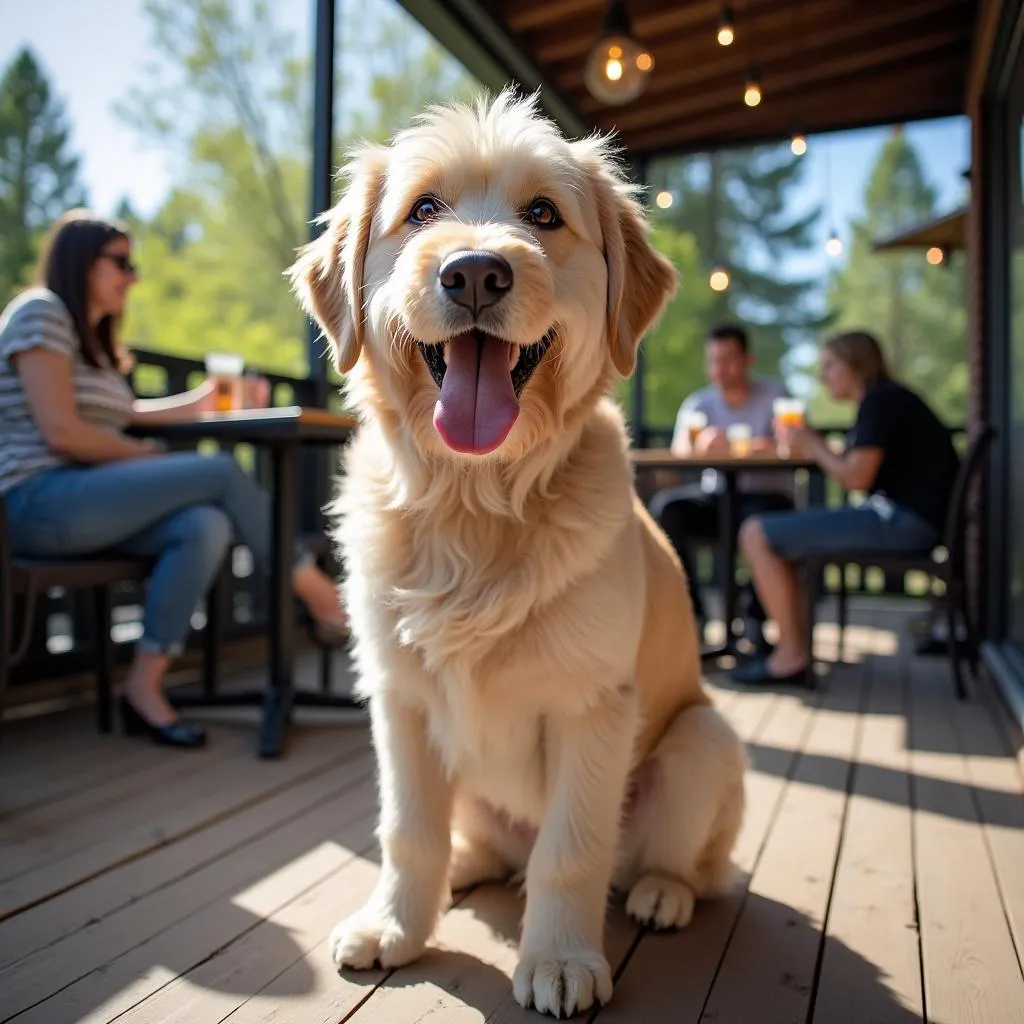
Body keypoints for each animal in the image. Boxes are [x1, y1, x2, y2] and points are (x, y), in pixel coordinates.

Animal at [288, 92, 745, 1019]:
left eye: (543, 215)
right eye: (424, 209)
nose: (473, 273)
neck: (476, 504)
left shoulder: (592, 707)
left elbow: (570, 852)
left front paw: (561, 960)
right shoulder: (399, 700)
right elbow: (407, 830)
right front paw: (394, 925)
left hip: (702, 740)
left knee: (674, 864)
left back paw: (664, 893)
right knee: (484, 847)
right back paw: (465, 870)